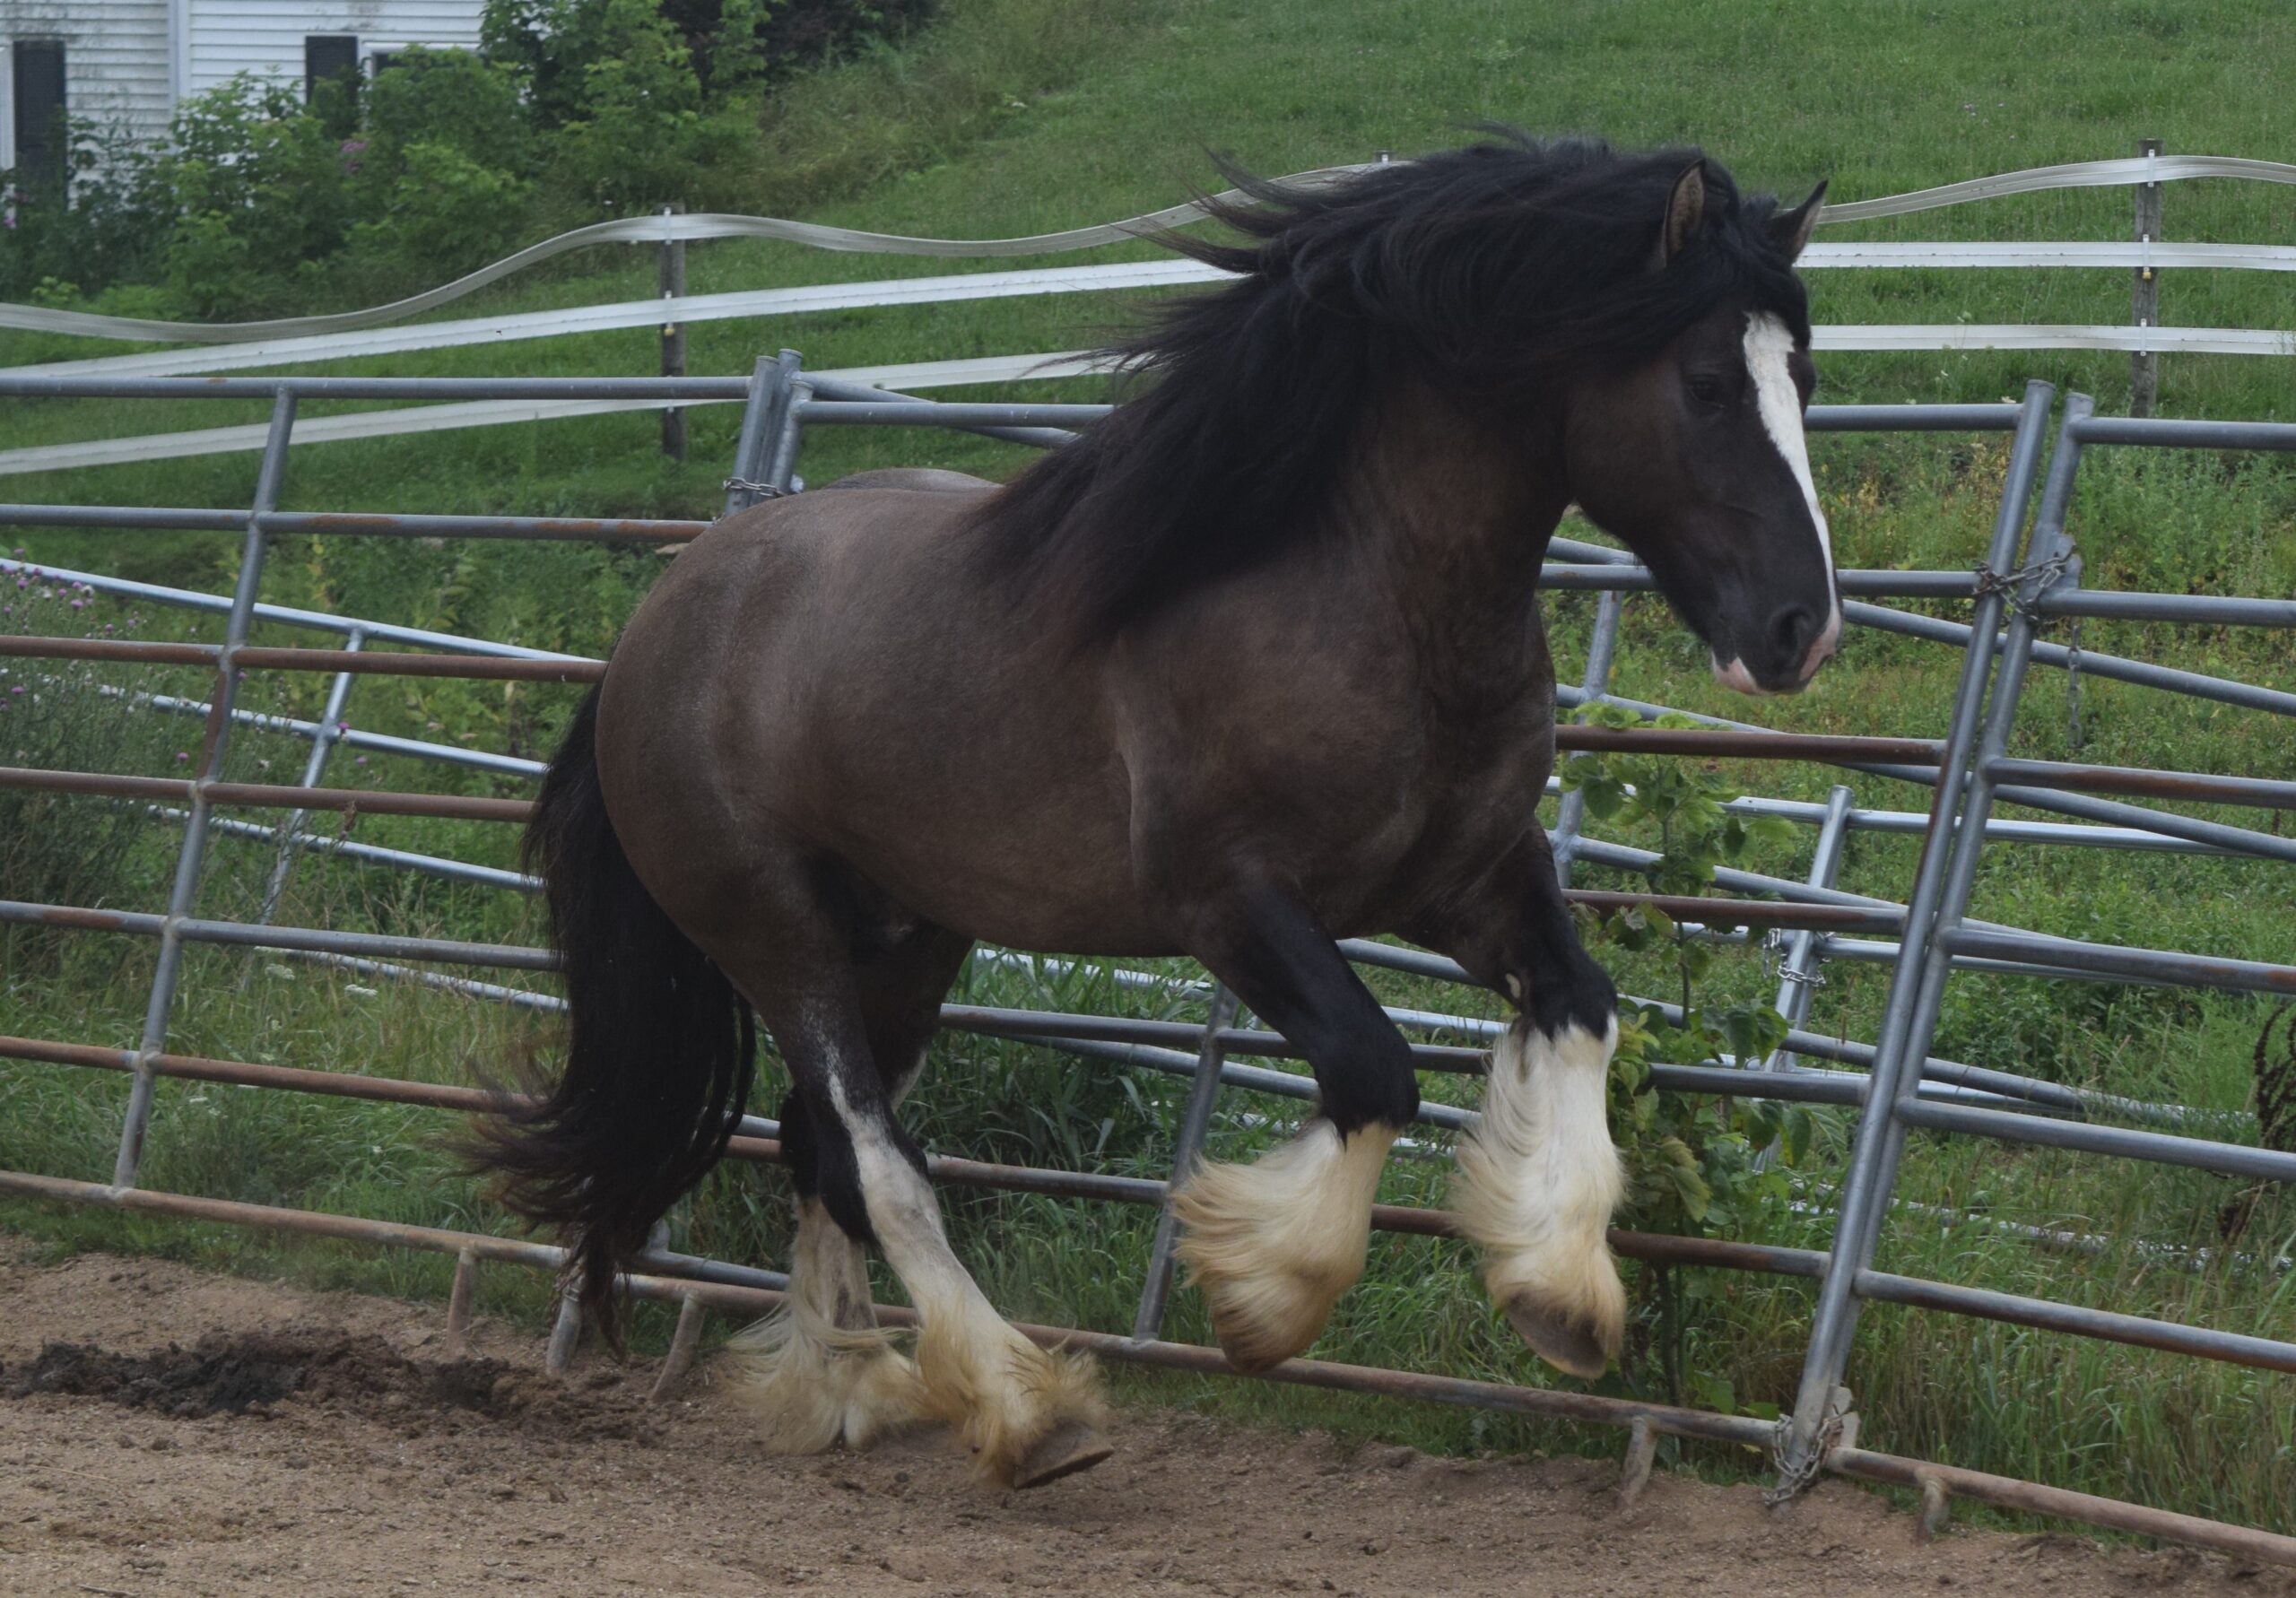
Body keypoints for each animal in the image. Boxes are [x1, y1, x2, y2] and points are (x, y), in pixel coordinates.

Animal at [477, 133, 1838, 1489]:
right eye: (1708, 382)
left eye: (1803, 373)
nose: (1801, 631)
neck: (1364, 597)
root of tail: (658, 623)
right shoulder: (1227, 899)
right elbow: (1374, 1068)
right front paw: (1262, 1292)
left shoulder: (1468, 879)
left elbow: (1581, 1009)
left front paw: (1559, 1291)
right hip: (774, 932)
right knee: (877, 1160)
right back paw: (1023, 1407)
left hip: (909, 941)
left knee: (819, 1153)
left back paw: (852, 1389)